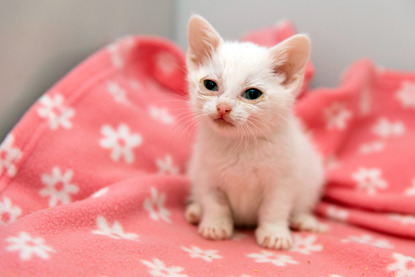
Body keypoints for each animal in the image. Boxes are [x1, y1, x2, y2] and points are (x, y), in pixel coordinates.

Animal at [184, 15, 324, 250]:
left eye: (252, 94)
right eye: (210, 85)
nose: (223, 107)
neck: (240, 144)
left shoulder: (284, 179)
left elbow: (275, 208)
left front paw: (274, 233)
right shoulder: (205, 172)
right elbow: (214, 201)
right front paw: (215, 225)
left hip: (311, 176)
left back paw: (302, 219)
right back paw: (195, 210)